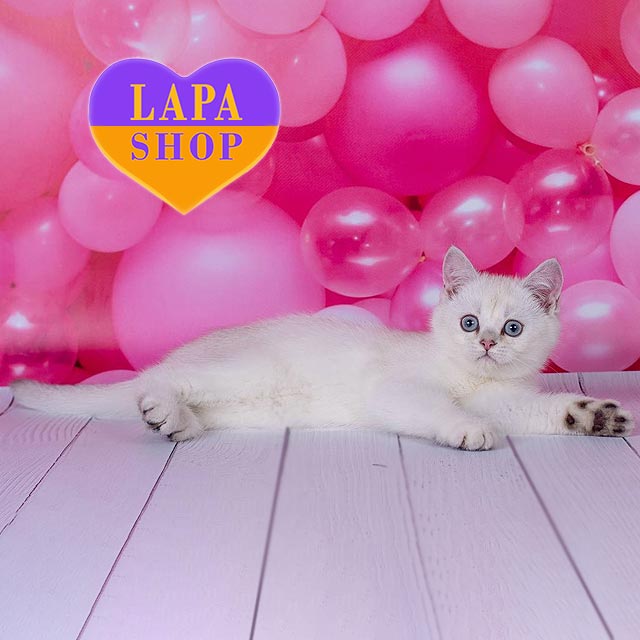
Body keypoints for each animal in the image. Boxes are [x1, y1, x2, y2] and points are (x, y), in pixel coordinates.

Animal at [10, 246, 634, 450]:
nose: (483, 343)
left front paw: (596, 415)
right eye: (469, 321)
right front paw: (466, 429)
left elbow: (542, 412)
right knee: (164, 383)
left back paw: (175, 423)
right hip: (245, 371)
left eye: (512, 330)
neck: (473, 380)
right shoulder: (398, 389)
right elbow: (436, 407)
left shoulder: (508, 400)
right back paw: (160, 406)